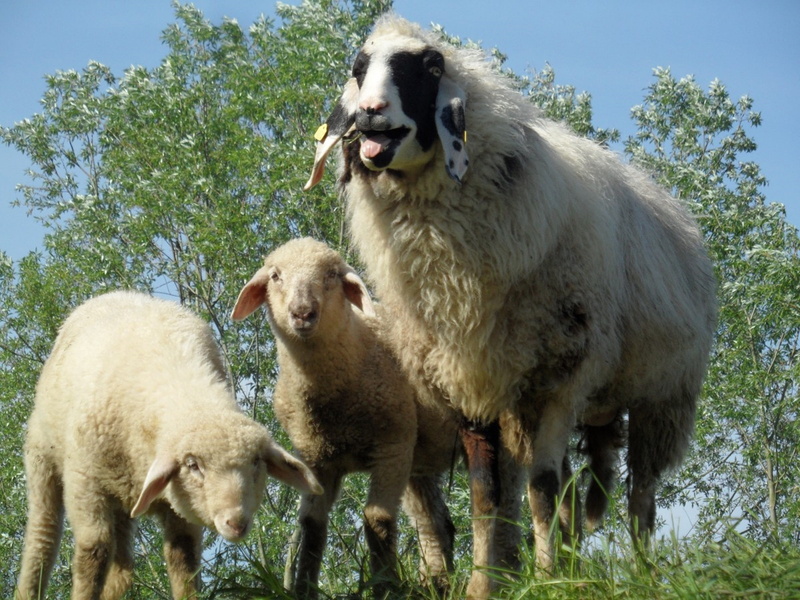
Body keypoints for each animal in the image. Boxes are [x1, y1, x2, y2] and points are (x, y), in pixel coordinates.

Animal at [16, 290, 322, 600]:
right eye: (193, 465)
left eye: (257, 462)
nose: (236, 522)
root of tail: (117, 293)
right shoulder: (86, 484)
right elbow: (93, 554)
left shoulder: (181, 510)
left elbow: (184, 564)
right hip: (43, 456)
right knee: (44, 535)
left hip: (124, 497)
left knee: (122, 566)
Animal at [231, 237, 460, 599]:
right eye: (275, 276)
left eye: (332, 275)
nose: (302, 313)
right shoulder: (315, 458)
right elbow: (312, 528)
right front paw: (304, 590)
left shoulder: (391, 447)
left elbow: (377, 520)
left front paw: (385, 588)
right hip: (417, 457)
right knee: (435, 524)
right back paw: (438, 584)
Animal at [303, 14, 717, 599]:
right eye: (358, 69)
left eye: (430, 68)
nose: (369, 113)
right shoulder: (471, 380)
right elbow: (487, 495)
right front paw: (487, 583)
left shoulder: (561, 378)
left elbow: (540, 488)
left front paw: (546, 580)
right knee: (573, 491)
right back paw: (572, 560)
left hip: (662, 396)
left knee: (640, 496)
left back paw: (641, 573)